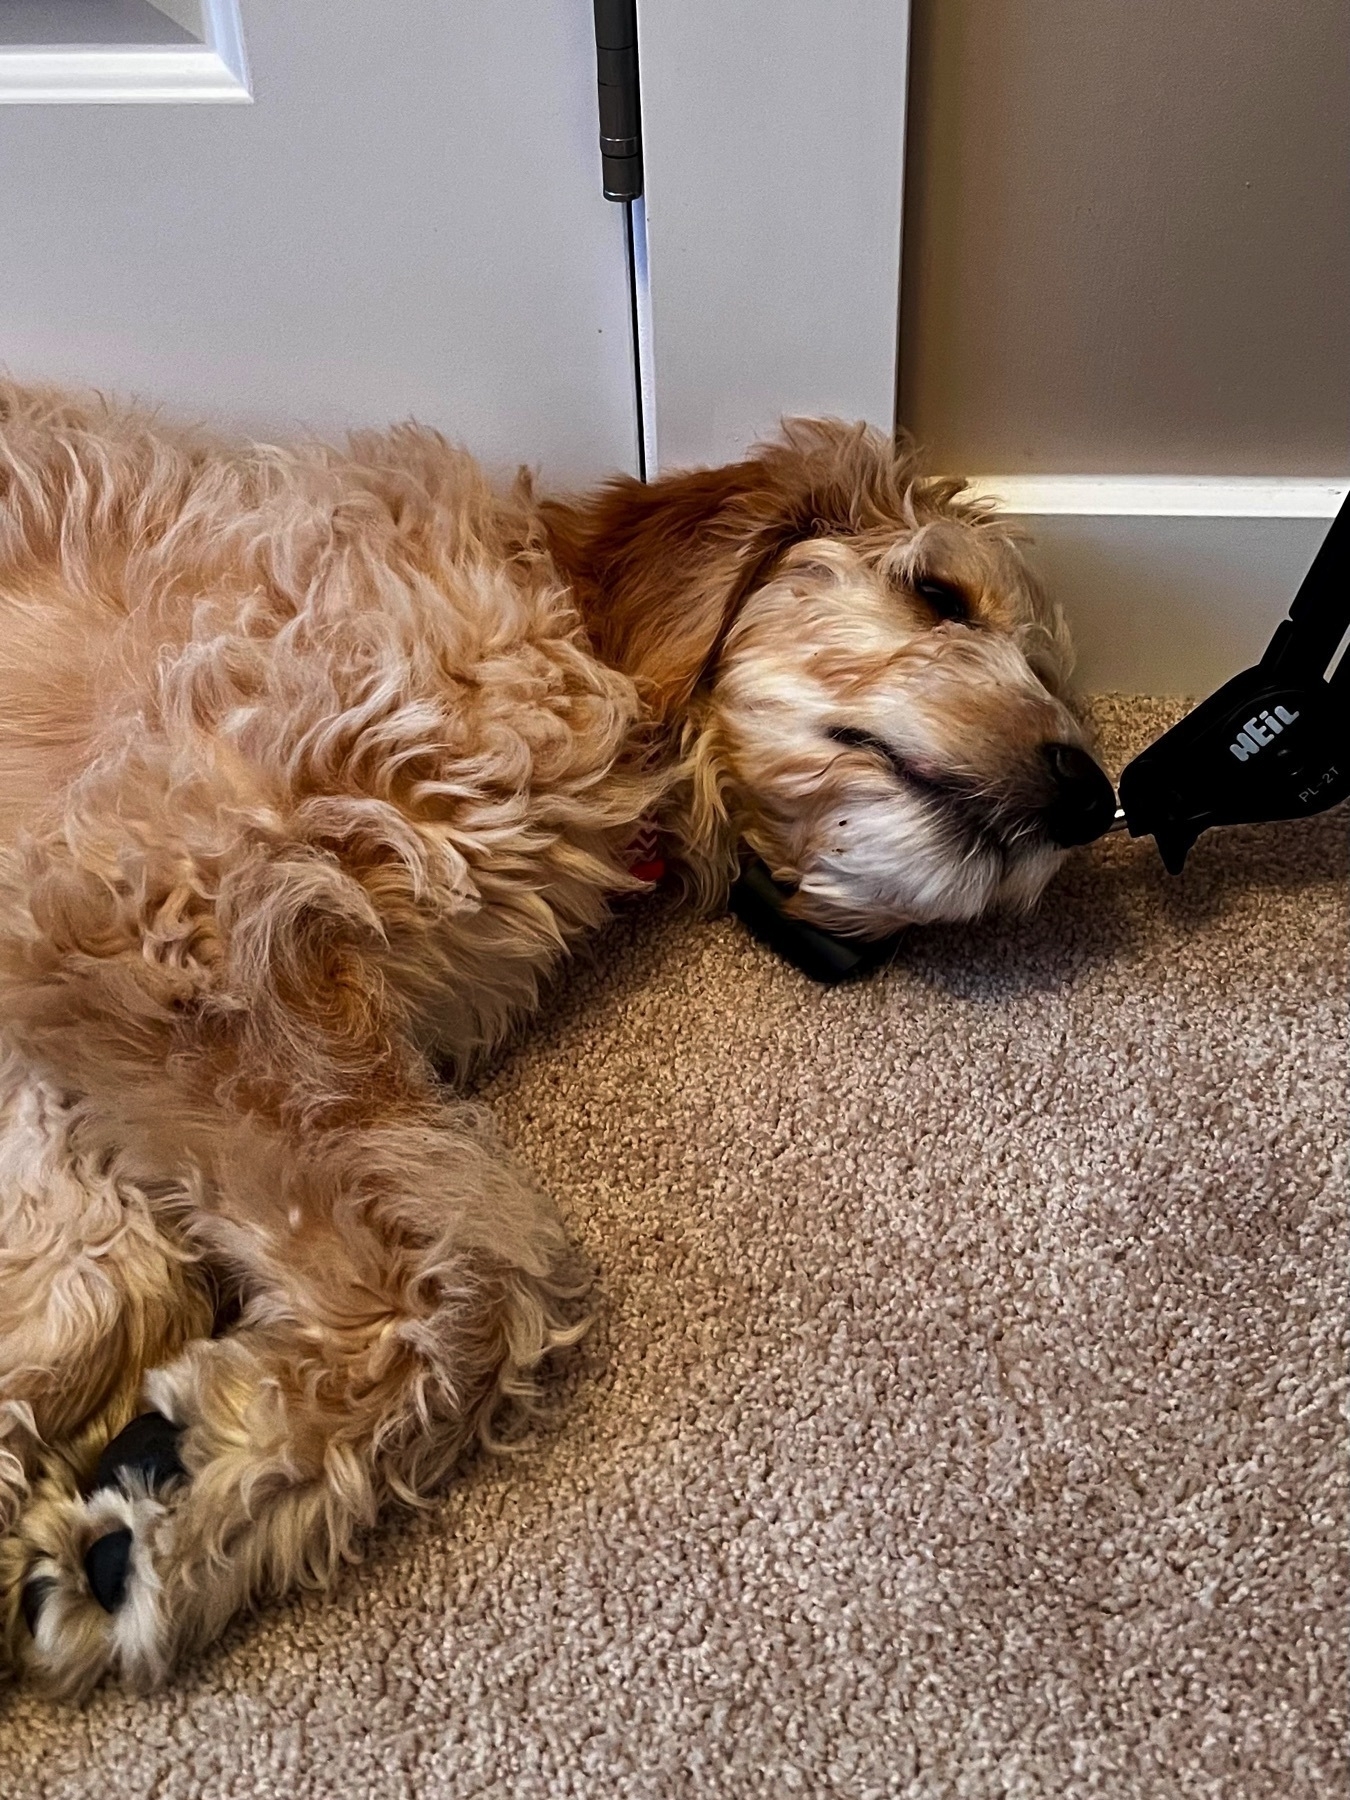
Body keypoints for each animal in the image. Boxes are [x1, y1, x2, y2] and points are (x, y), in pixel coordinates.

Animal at [0, 387, 1116, 1692]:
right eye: (939, 595)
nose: (1088, 793)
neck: (572, 635)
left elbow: (103, 1281)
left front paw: (159, 1499)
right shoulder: (171, 914)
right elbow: (475, 1276)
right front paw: (179, 1499)